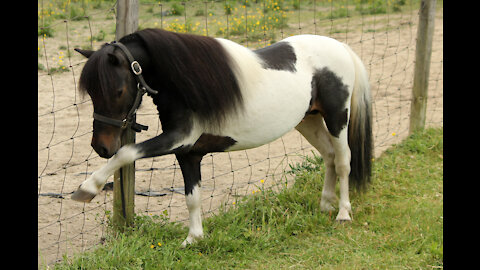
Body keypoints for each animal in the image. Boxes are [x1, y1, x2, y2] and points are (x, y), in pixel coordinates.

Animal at [72, 28, 372, 246]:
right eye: (92, 92)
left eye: (119, 91)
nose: (100, 147)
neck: (184, 86)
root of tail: (340, 47)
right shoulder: (188, 152)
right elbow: (192, 197)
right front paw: (193, 239)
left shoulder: (178, 139)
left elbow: (126, 153)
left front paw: (87, 188)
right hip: (308, 120)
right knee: (329, 156)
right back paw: (325, 205)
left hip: (337, 118)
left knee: (343, 161)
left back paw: (343, 213)